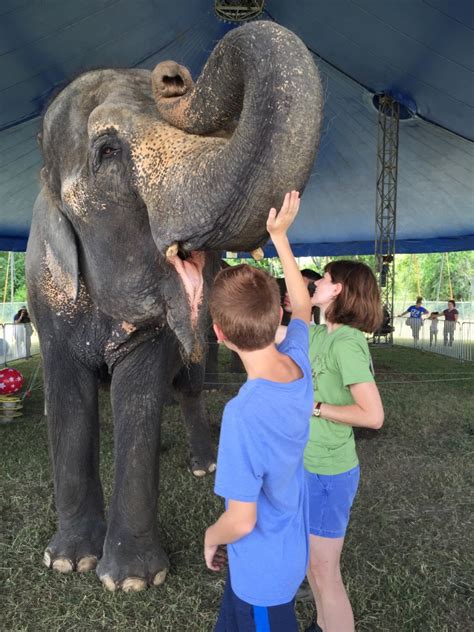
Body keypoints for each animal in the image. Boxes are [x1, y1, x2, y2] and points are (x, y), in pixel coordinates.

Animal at [25, 21, 322, 592]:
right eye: (108, 151)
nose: (173, 76)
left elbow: (139, 395)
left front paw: (132, 581)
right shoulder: (45, 299)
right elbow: (68, 400)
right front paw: (69, 561)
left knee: (188, 387)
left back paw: (203, 466)